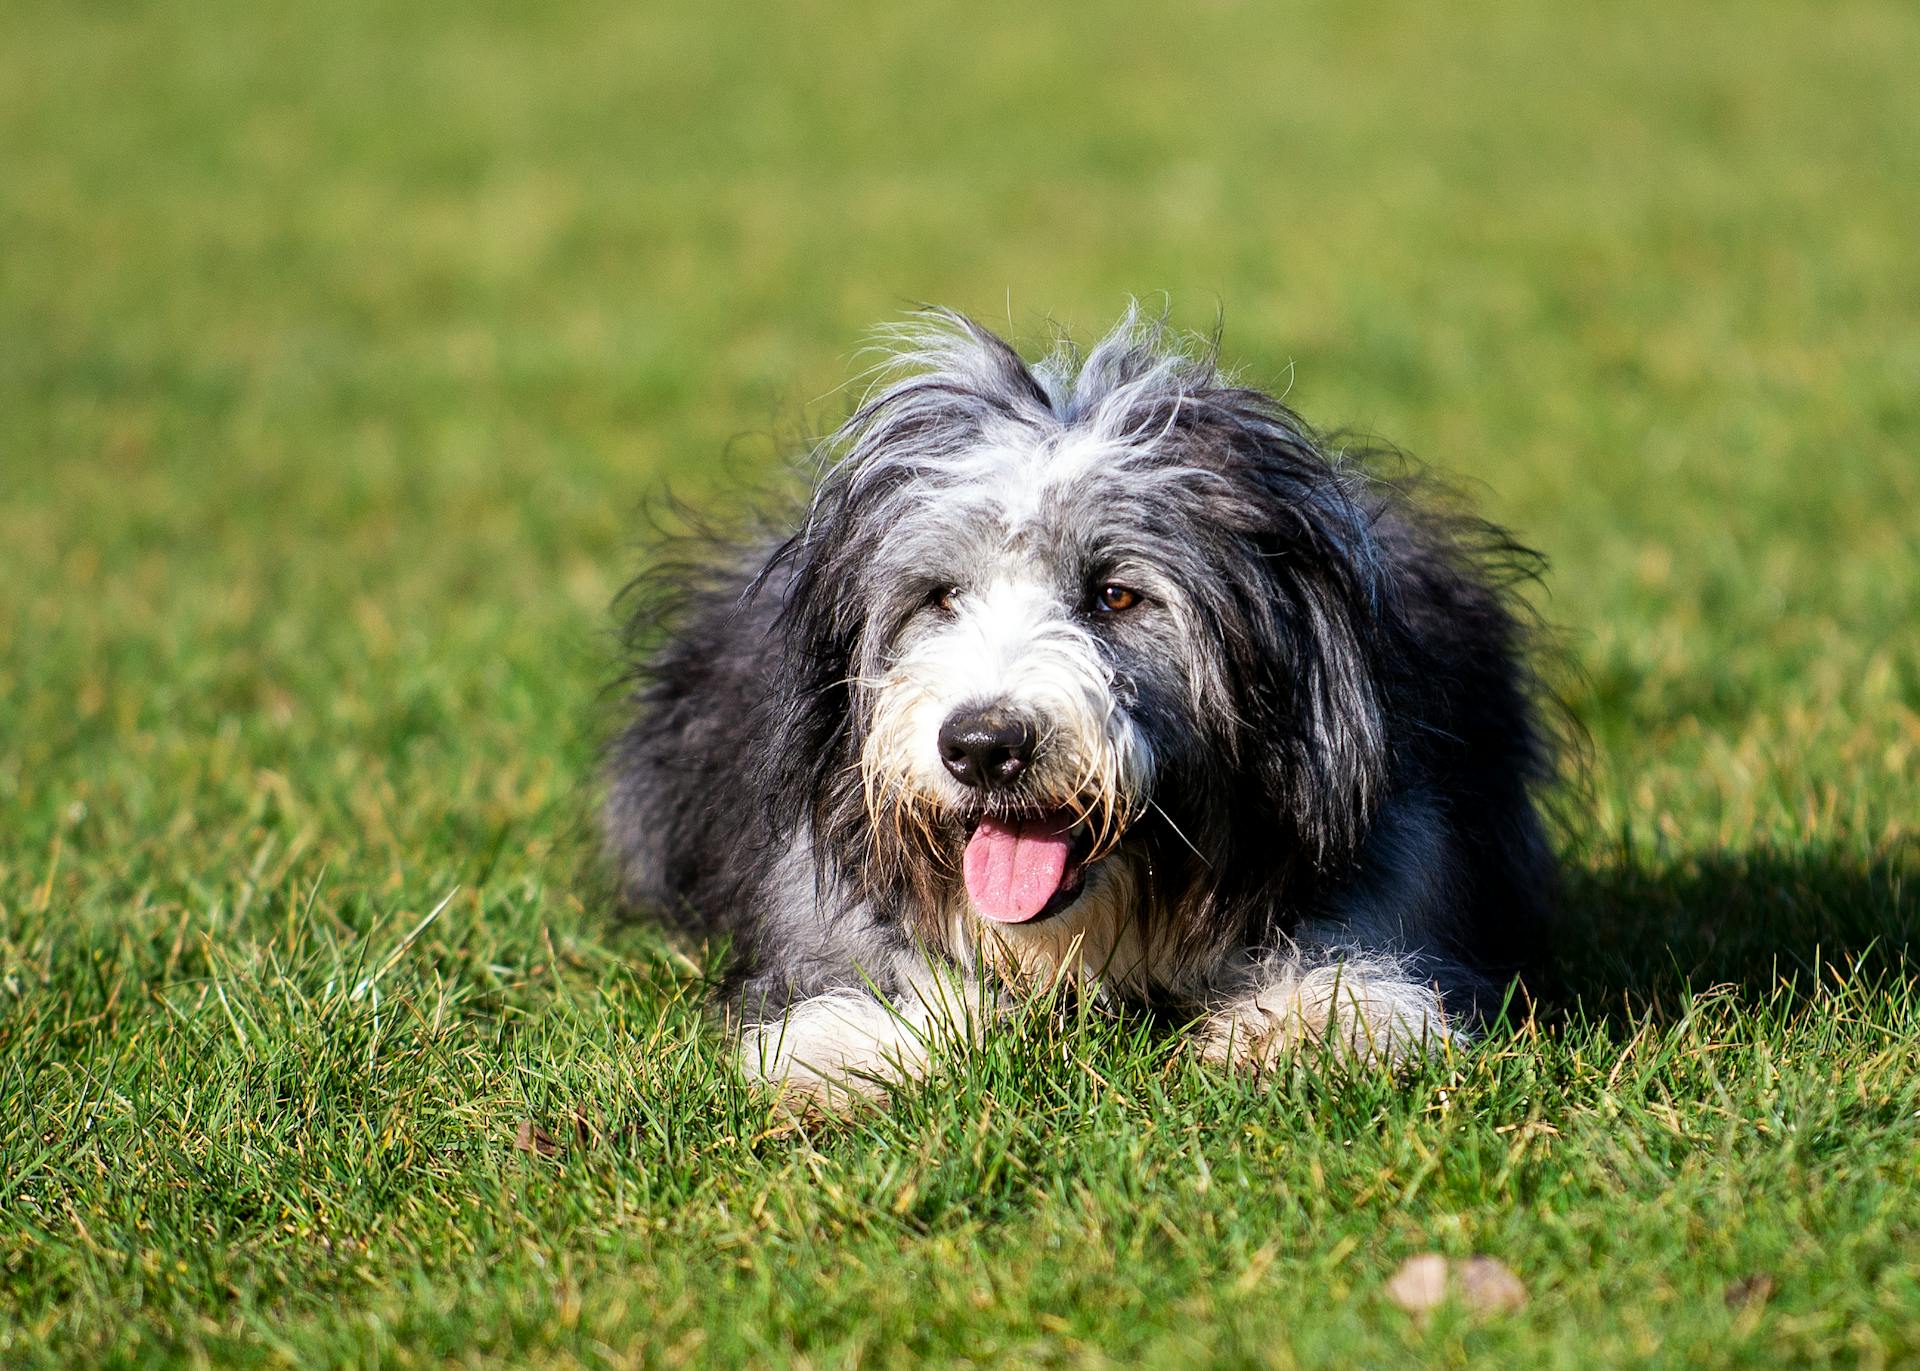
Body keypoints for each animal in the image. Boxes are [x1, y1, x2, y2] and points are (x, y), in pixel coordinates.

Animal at [602, 305, 1559, 1098]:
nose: (984, 745)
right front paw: (863, 1038)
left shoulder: (1407, 843)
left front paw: (1317, 1018)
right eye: (941, 596)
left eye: (1116, 596)